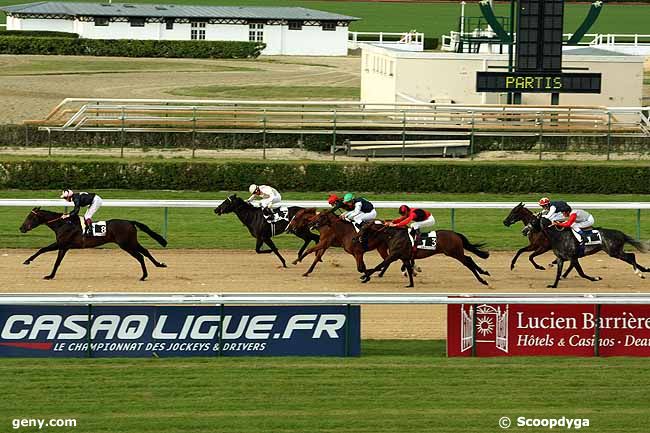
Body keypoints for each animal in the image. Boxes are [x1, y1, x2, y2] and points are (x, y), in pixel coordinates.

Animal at [19, 207, 167, 280]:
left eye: (30, 217)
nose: (21, 228)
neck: (63, 224)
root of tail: (130, 222)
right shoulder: (64, 247)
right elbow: (57, 262)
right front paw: (50, 276)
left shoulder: (61, 244)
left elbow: (42, 249)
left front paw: (27, 261)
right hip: (131, 242)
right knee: (145, 252)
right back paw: (159, 265)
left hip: (126, 244)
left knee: (140, 256)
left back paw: (144, 276)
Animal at [356, 223, 488, 286]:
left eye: (364, 230)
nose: (355, 239)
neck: (393, 236)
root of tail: (455, 234)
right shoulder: (403, 257)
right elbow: (407, 268)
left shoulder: (394, 255)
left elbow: (379, 265)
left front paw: (364, 277)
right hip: (455, 252)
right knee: (469, 259)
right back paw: (484, 272)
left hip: (454, 252)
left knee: (468, 262)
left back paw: (482, 280)